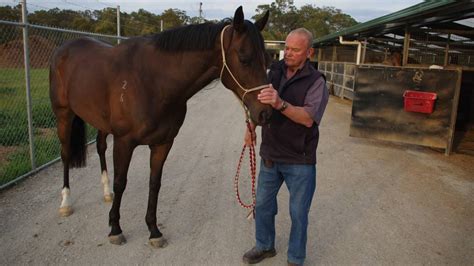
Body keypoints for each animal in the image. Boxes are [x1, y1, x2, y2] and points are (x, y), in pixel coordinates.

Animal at [49, 6, 270, 247]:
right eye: (244, 59)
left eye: (267, 59)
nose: (265, 112)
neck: (153, 81)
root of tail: (64, 48)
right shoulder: (124, 142)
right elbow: (121, 182)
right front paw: (115, 228)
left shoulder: (163, 143)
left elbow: (155, 183)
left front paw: (154, 230)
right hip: (64, 115)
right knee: (66, 153)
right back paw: (65, 203)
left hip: (100, 122)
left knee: (100, 148)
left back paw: (105, 193)